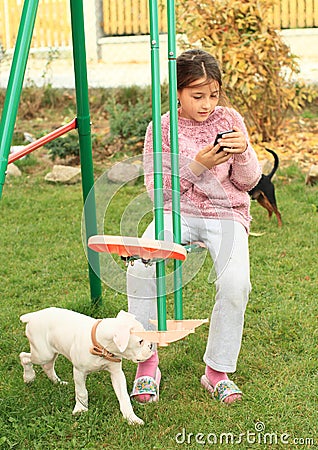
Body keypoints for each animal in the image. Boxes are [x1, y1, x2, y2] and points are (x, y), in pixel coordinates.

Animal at [19, 308, 155, 424]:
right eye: (140, 341)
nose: (151, 345)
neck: (101, 346)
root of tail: (33, 315)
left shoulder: (117, 374)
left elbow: (124, 397)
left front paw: (131, 418)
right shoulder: (79, 372)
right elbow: (81, 392)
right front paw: (81, 409)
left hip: (51, 353)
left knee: (47, 366)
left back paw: (57, 382)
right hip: (43, 354)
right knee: (24, 357)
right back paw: (29, 377)